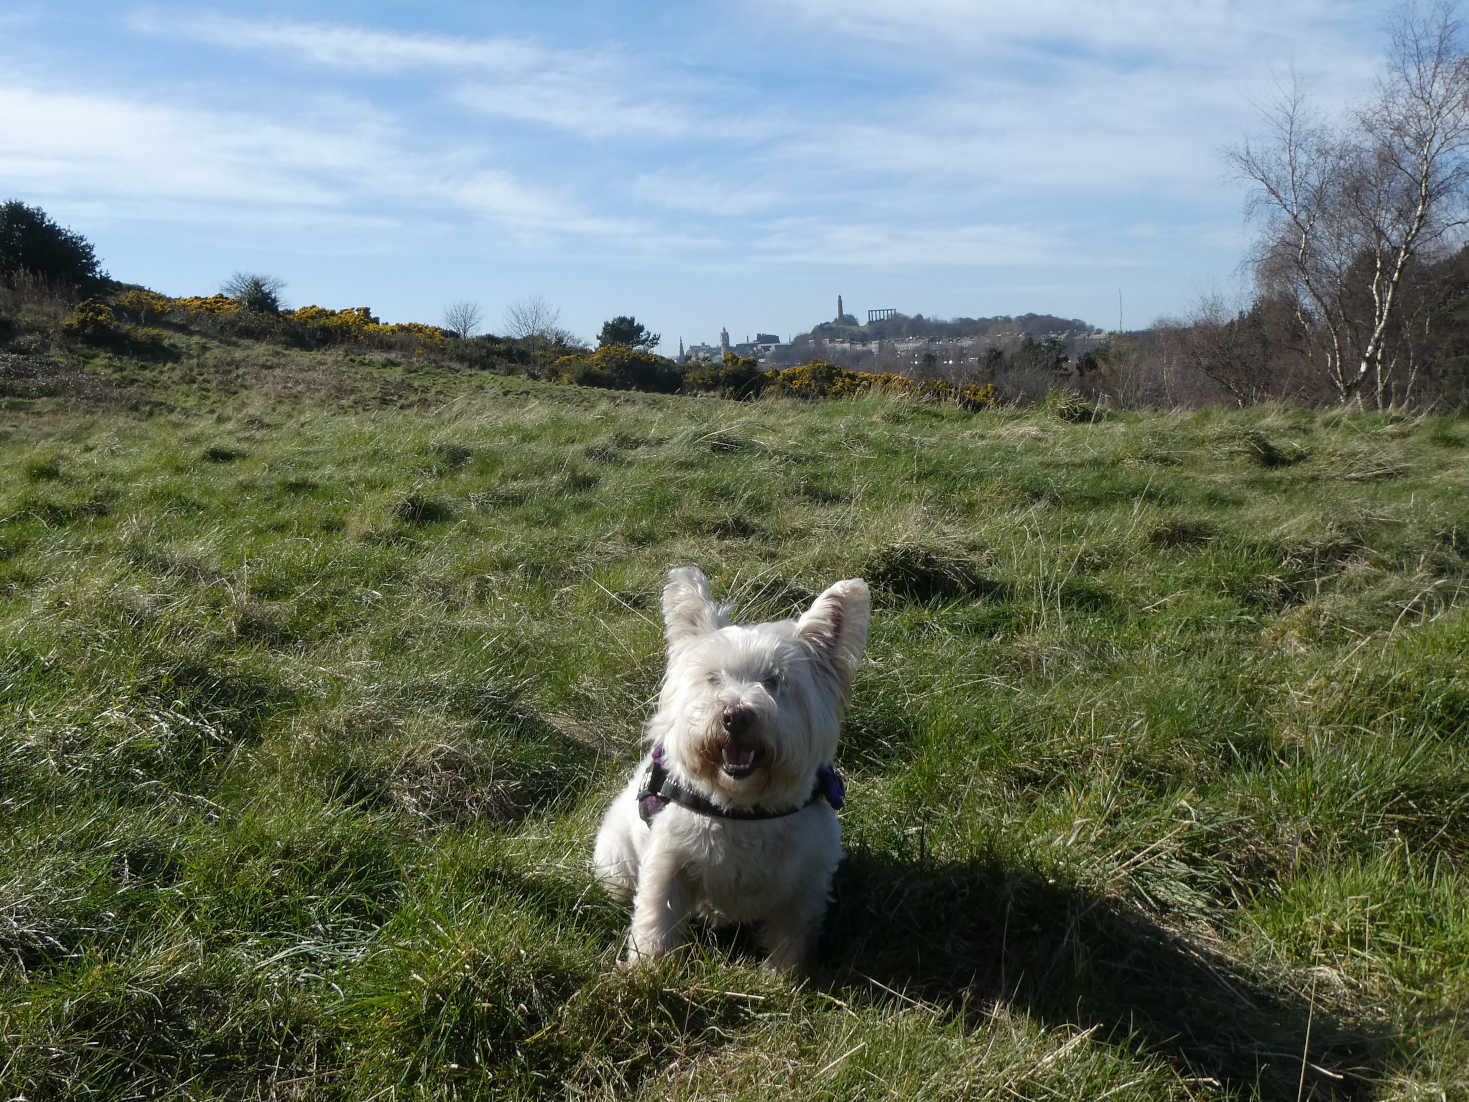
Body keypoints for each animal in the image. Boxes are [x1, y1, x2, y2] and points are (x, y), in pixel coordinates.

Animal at [593, 564, 869, 969]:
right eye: (712, 678)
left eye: (774, 679)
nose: (735, 716)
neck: (741, 808)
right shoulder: (668, 863)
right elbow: (655, 921)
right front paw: (645, 971)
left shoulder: (806, 883)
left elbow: (792, 940)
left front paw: (782, 978)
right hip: (616, 858)